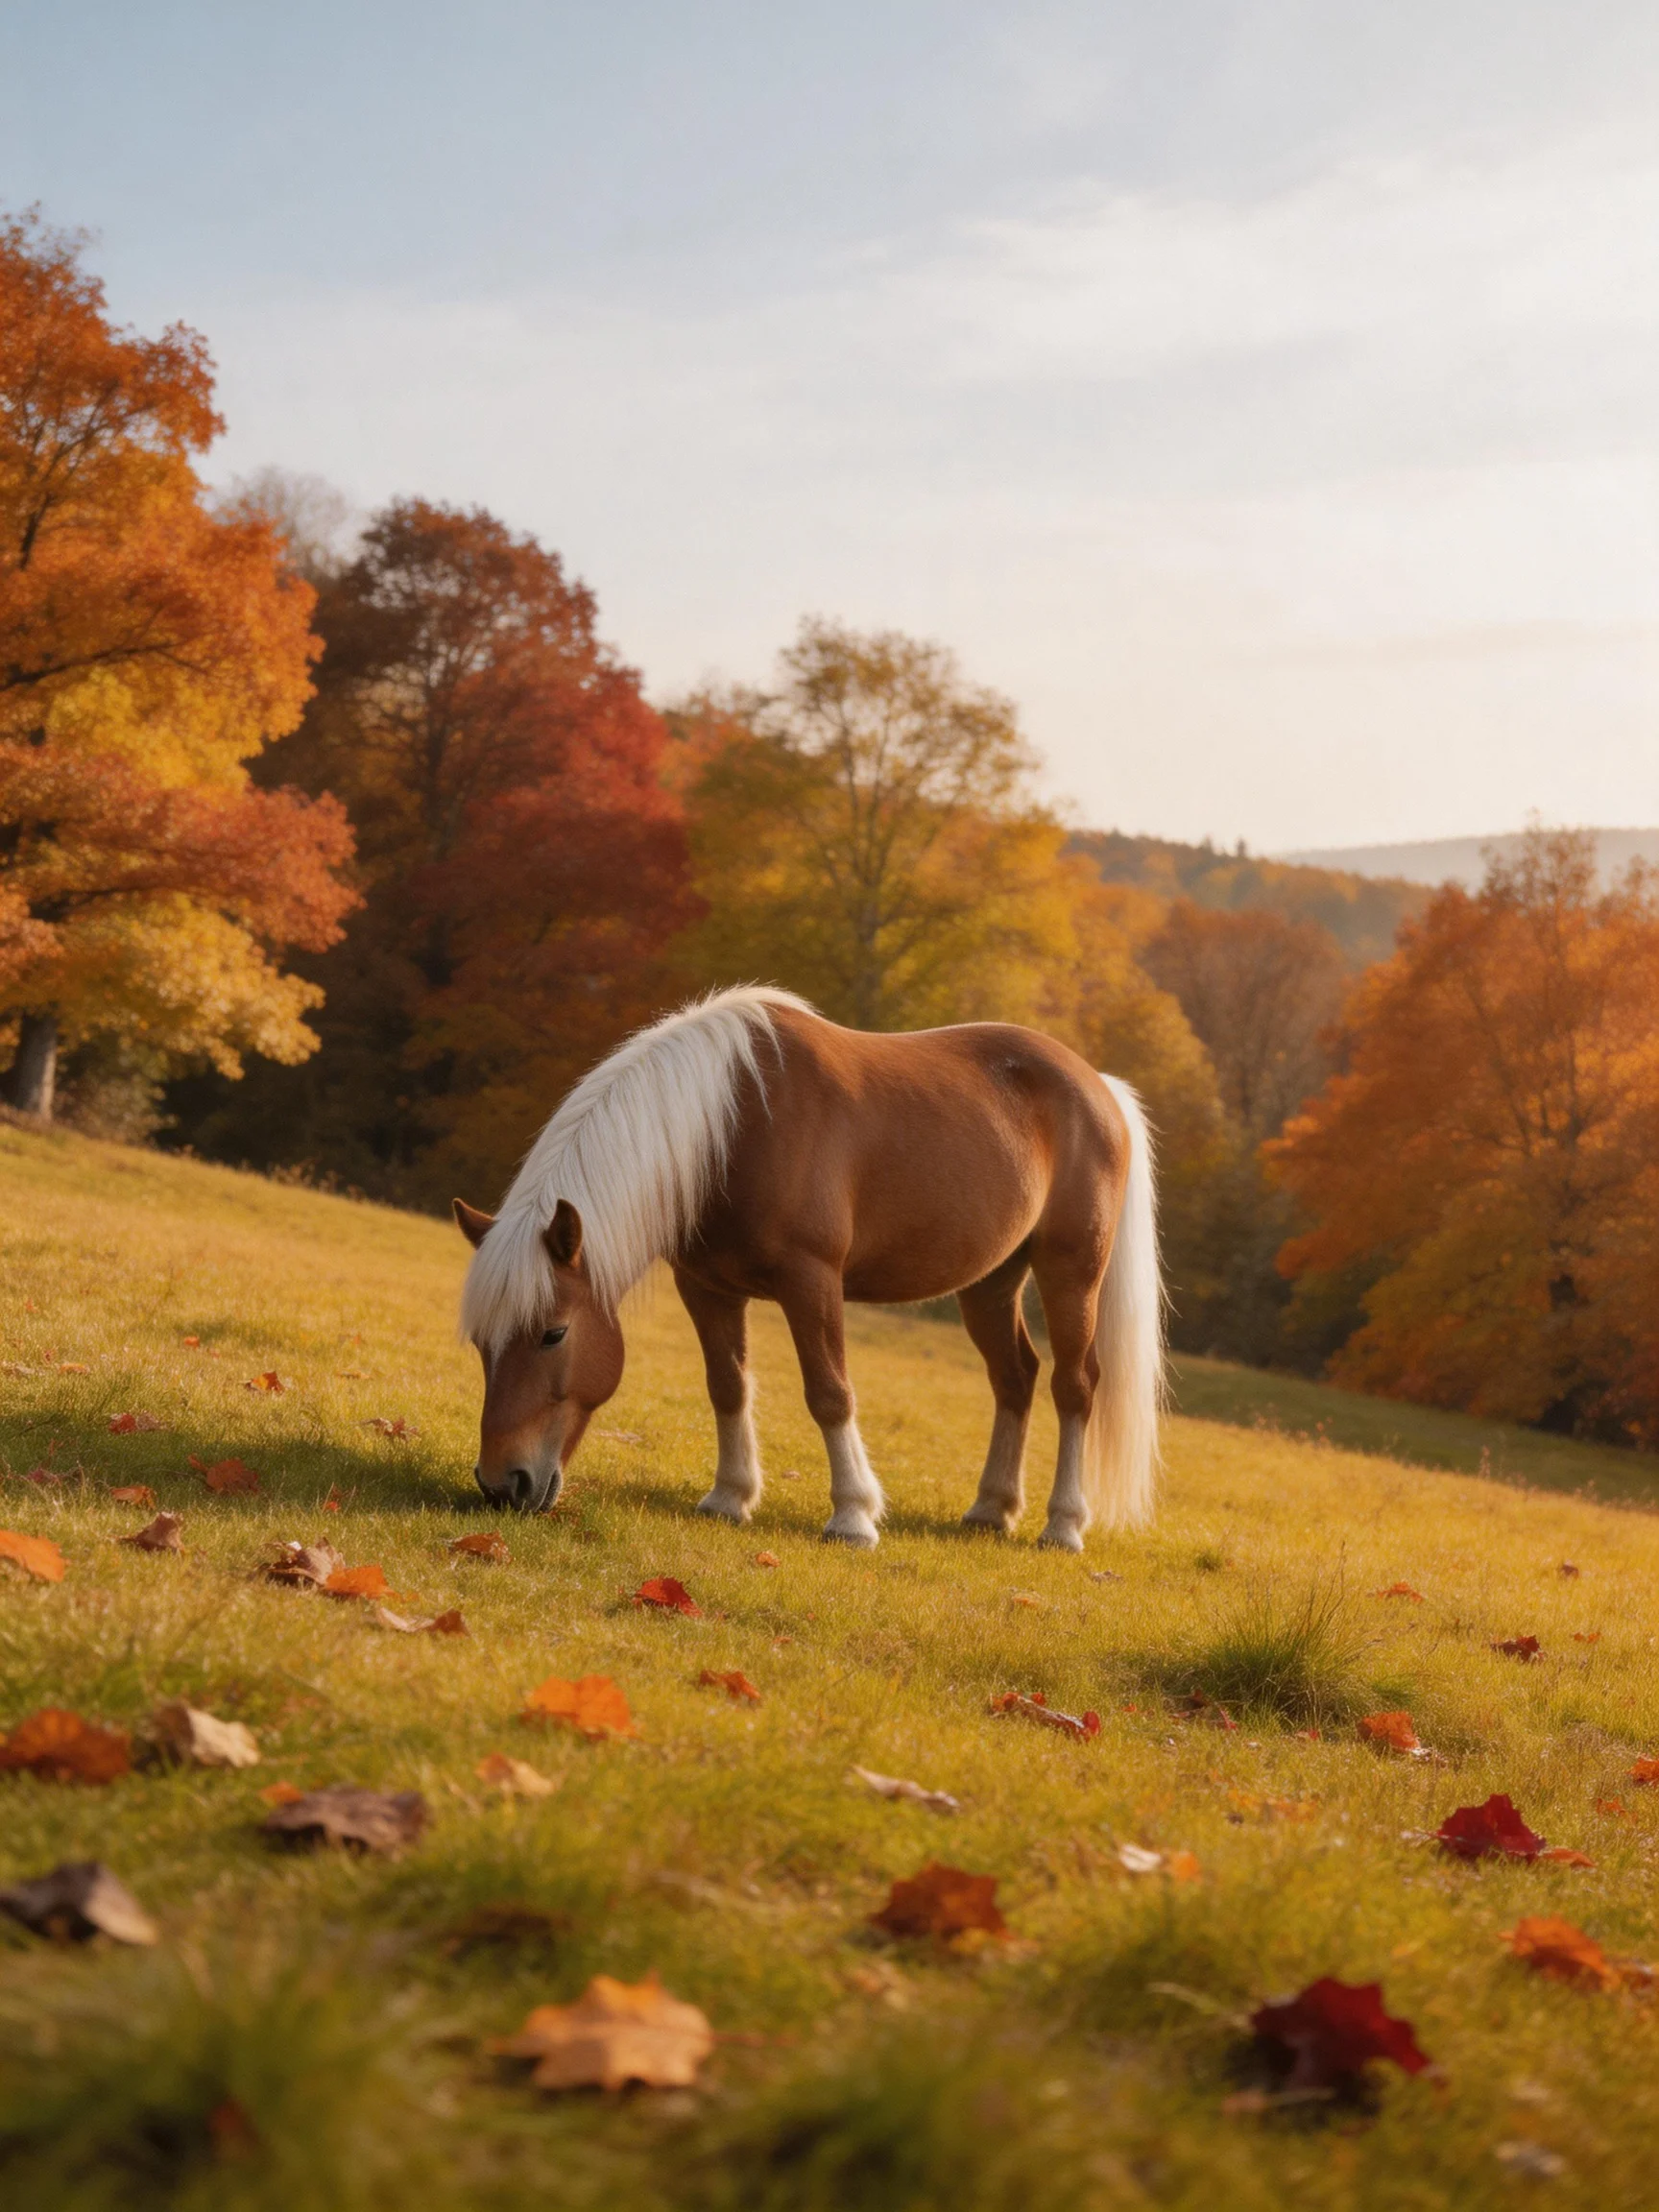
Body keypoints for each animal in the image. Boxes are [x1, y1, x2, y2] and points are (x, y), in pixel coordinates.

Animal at [454, 985, 1163, 1550]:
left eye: (554, 1334)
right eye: (482, 1344)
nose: (501, 1484)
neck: (734, 1124)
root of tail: (1100, 1087)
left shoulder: (812, 1281)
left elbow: (829, 1392)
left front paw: (853, 1516)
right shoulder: (705, 1287)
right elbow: (727, 1385)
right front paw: (730, 1497)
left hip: (1072, 1269)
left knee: (1074, 1385)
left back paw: (1063, 1524)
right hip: (990, 1282)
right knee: (1014, 1377)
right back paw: (992, 1509)